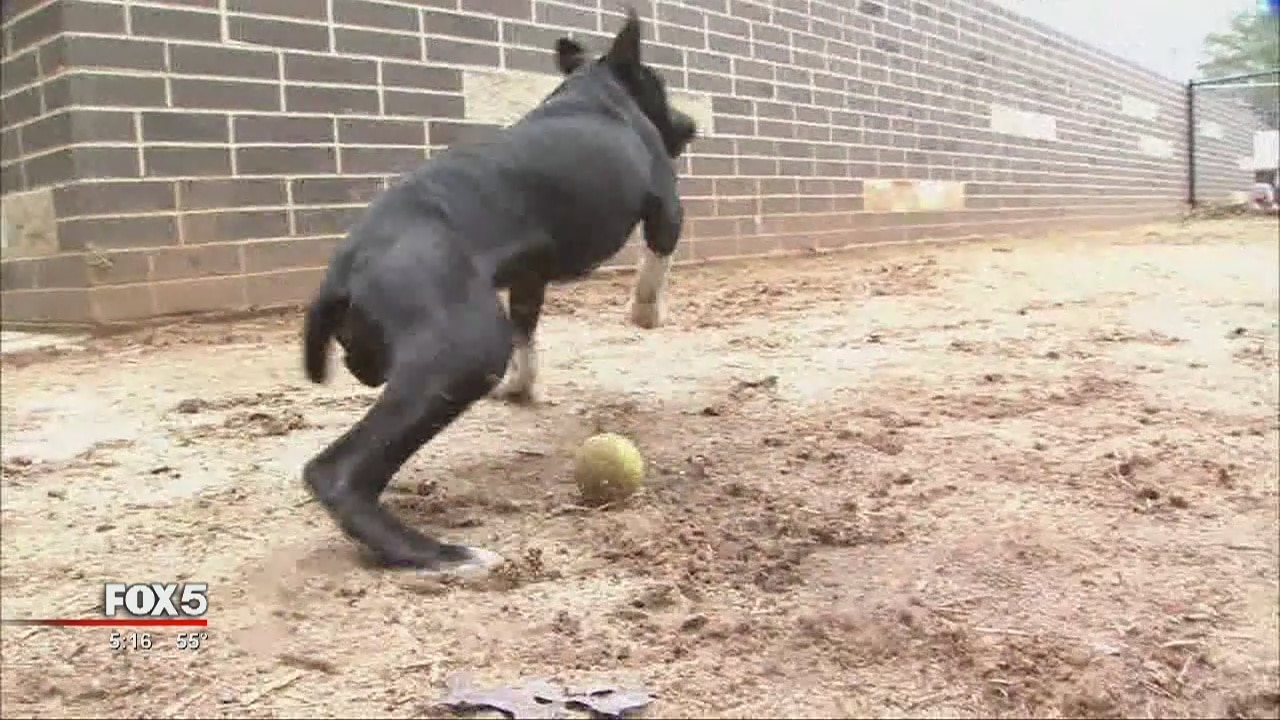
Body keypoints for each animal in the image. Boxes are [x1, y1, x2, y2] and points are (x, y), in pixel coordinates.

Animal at [300, 7, 697, 575]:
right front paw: (646, 310)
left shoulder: (530, 277)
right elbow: (658, 259)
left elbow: (528, 331)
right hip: (466, 352)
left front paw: (522, 386)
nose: (691, 125)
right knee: (339, 473)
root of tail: (346, 268)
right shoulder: (666, 203)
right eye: (659, 85)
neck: (594, 88)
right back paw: (439, 555)